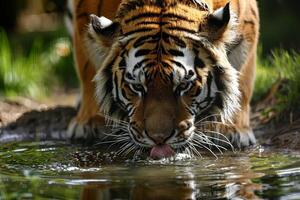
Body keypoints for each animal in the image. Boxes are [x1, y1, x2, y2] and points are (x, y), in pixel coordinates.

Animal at [67, 0, 258, 159]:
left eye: (183, 85)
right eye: (137, 87)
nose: (159, 139)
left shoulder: (246, 29)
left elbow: (243, 83)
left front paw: (232, 129)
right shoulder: (83, 19)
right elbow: (88, 71)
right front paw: (89, 122)